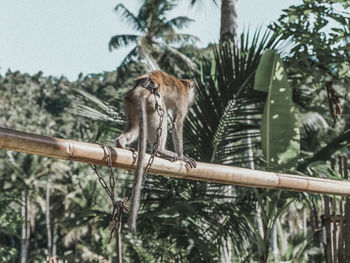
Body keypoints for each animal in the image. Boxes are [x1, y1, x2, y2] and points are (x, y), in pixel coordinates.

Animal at [116, 69, 196, 231]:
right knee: (161, 114)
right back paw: (160, 150)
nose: (193, 101)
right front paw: (182, 156)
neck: (183, 85)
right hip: (153, 101)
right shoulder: (183, 101)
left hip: (129, 100)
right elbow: (177, 123)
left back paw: (121, 142)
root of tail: (142, 89)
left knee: (135, 125)